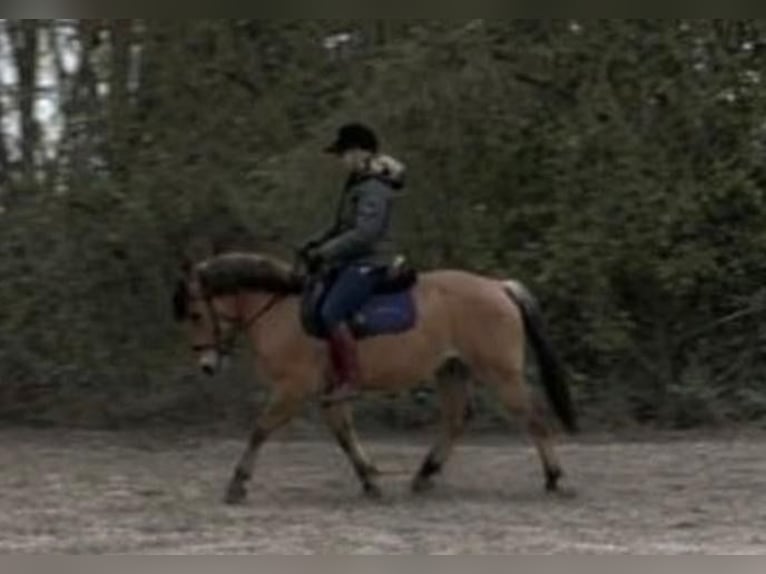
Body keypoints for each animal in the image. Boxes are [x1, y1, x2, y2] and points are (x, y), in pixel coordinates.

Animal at [172, 252, 578, 504]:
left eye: (195, 314)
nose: (207, 365)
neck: (283, 312)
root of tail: (498, 287)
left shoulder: (292, 388)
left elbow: (260, 430)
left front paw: (237, 484)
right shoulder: (329, 393)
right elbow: (344, 434)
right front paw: (370, 479)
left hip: (501, 374)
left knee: (534, 419)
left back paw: (556, 479)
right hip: (451, 370)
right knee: (456, 419)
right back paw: (425, 475)